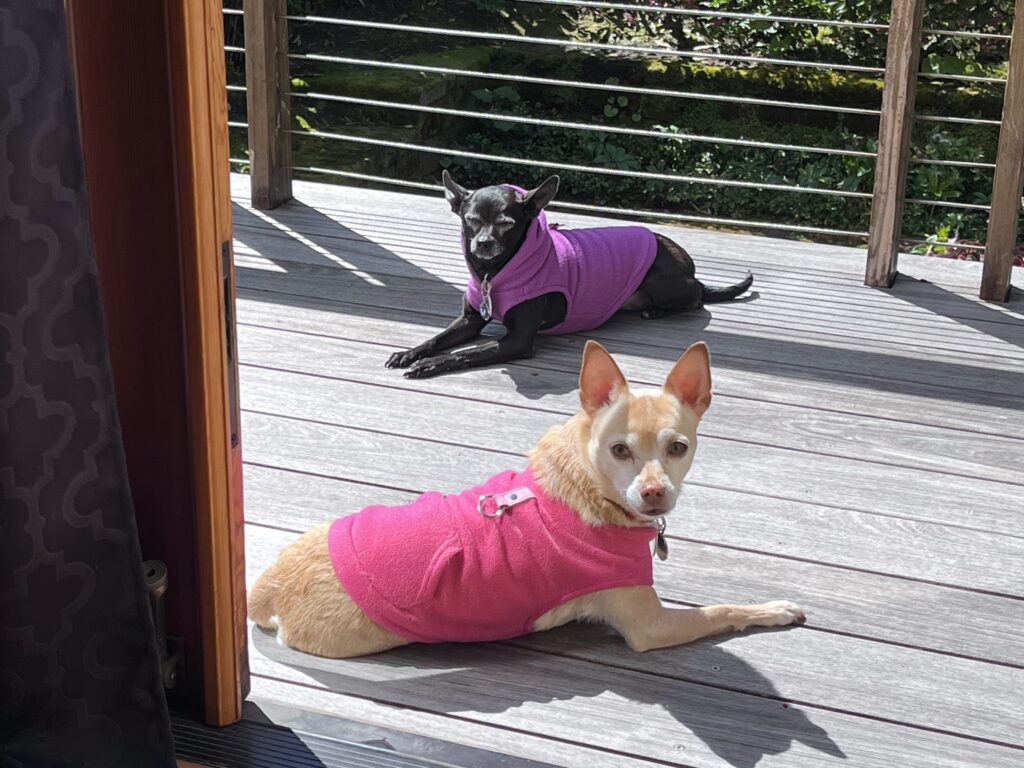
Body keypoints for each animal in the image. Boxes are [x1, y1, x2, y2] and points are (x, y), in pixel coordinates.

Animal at [249, 344, 806, 663]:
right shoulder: (653, 625)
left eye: (678, 448)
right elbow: (721, 610)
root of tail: (266, 588)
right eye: (619, 450)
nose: (653, 493)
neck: (588, 484)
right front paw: (775, 609)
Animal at [385, 173, 753, 380]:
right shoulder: (470, 321)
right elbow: (437, 339)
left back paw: (659, 309)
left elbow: (465, 353)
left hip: (662, 279)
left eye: (506, 223)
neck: (494, 273)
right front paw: (410, 353)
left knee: (695, 297)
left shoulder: (517, 341)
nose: (483, 243)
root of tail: (689, 266)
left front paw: (429, 365)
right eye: (471, 220)